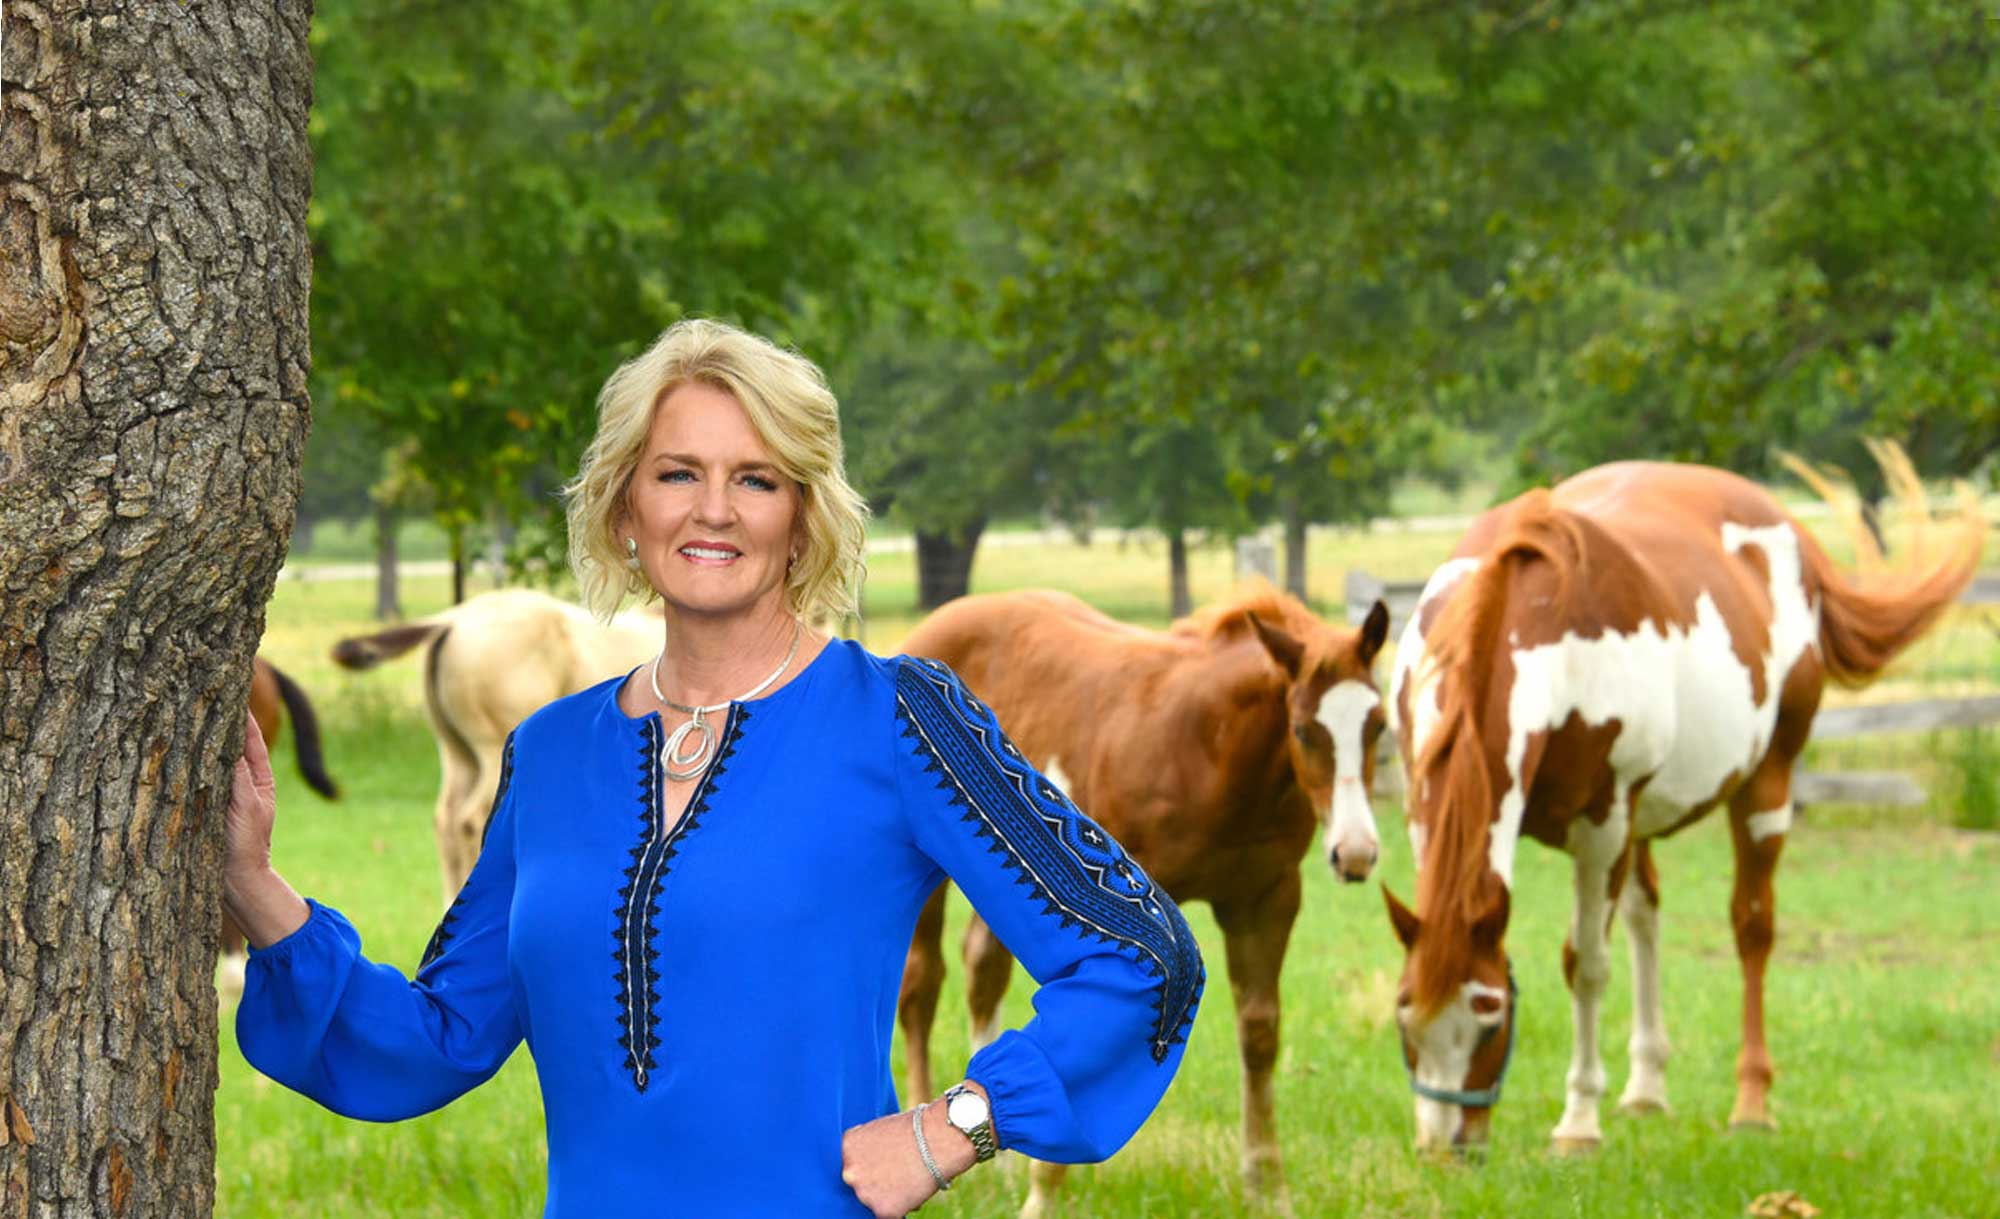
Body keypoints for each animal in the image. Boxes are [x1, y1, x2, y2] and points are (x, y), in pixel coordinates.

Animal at [900, 579, 1384, 1207]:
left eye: (1378, 726)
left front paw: (1267, 1187)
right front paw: (1042, 1195)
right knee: (921, 984)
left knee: (982, 968)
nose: (1356, 852)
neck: (1210, 750)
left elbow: (1259, 1033)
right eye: (1303, 729)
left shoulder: (1266, 901)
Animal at [1392, 447, 1984, 1151]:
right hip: (1646, 820)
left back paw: (1751, 1104)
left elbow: (1585, 964)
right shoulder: (1430, 817)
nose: (1444, 1148)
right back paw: (1646, 1087)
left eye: (1491, 1018)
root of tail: (1789, 532)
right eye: (1404, 1021)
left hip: (1765, 789)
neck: (1524, 615)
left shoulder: (1603, 827)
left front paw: (1579, 1122)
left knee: (1752, 928)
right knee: (1646, 914)